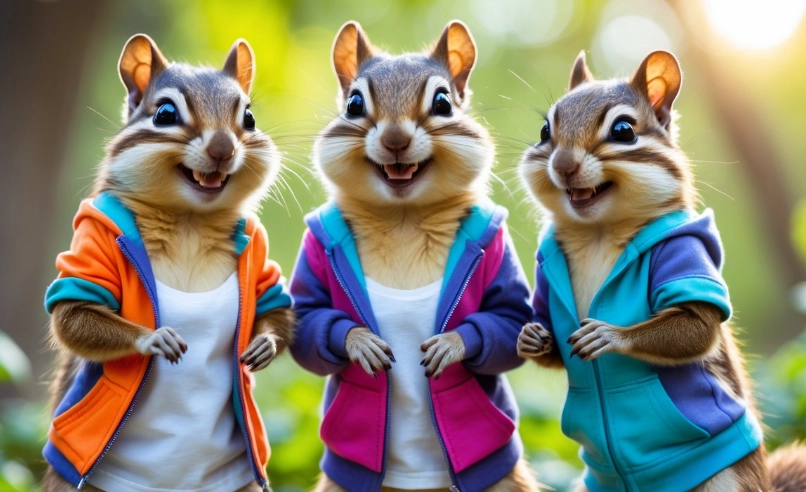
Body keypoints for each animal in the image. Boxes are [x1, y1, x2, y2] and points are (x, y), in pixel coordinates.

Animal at [41, 34, 294, 492]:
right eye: (164, 114)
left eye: (249, 117)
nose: (223, 148)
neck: (189, 221)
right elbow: (73, 314)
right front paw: (152, 339)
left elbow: (274, 307)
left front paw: (263, 345)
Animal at [288, 21, 539, 492]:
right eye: (353, 104)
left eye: (443, 102)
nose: (395, 139)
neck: (403, 217)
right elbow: (310, 318)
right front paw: (358, 341)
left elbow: (508, 315)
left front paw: (453, 344)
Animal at [517, 49, 806, 492]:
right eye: (545, 129)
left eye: (623, 130)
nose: (562, 164)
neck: (599, 233)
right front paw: (532, 337)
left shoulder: (685, 256)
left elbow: (697, 326)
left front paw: (610, 335)